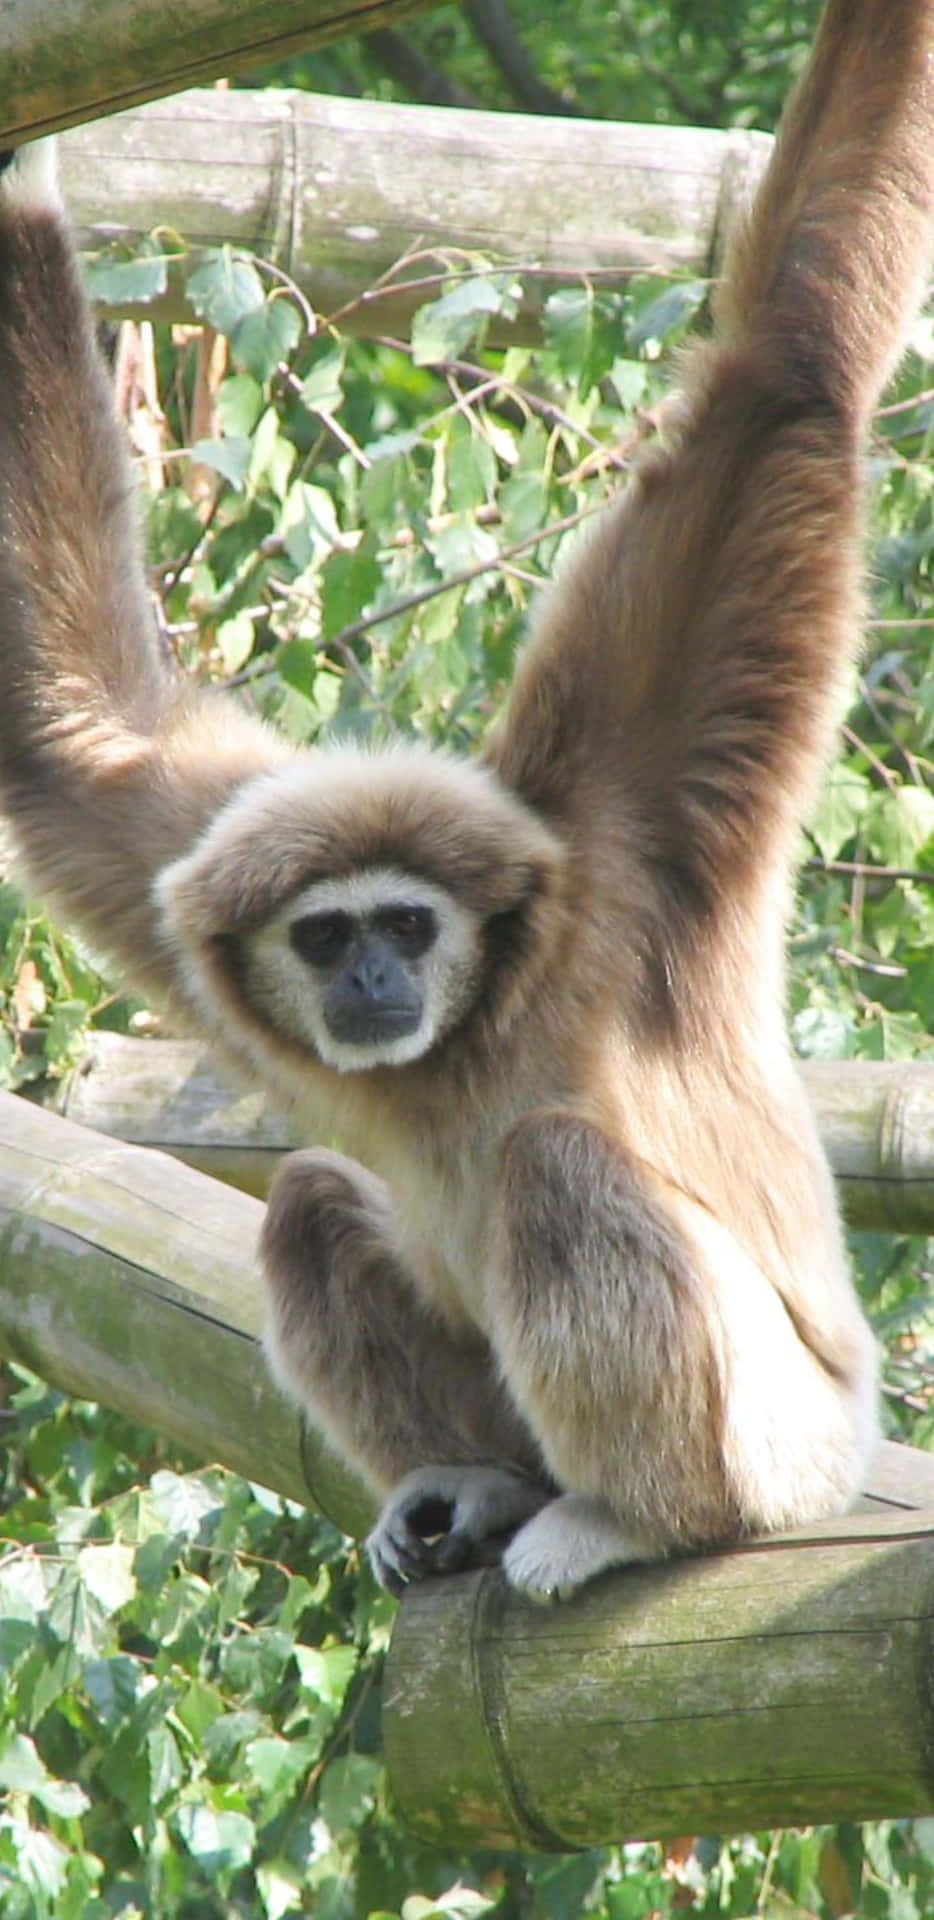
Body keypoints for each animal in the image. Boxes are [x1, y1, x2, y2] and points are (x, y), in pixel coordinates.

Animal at [0, 0, 931, 1606]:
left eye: (408, 925)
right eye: (324, 937)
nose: (370, 979)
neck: (478, 1019)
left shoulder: (622, 831)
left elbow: (783, 371)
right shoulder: (186, 852)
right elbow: (70, 725)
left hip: (790, 1449)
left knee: (554, 1170)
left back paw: (627, 1516)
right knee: (312, 1200)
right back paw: (478, 1483)